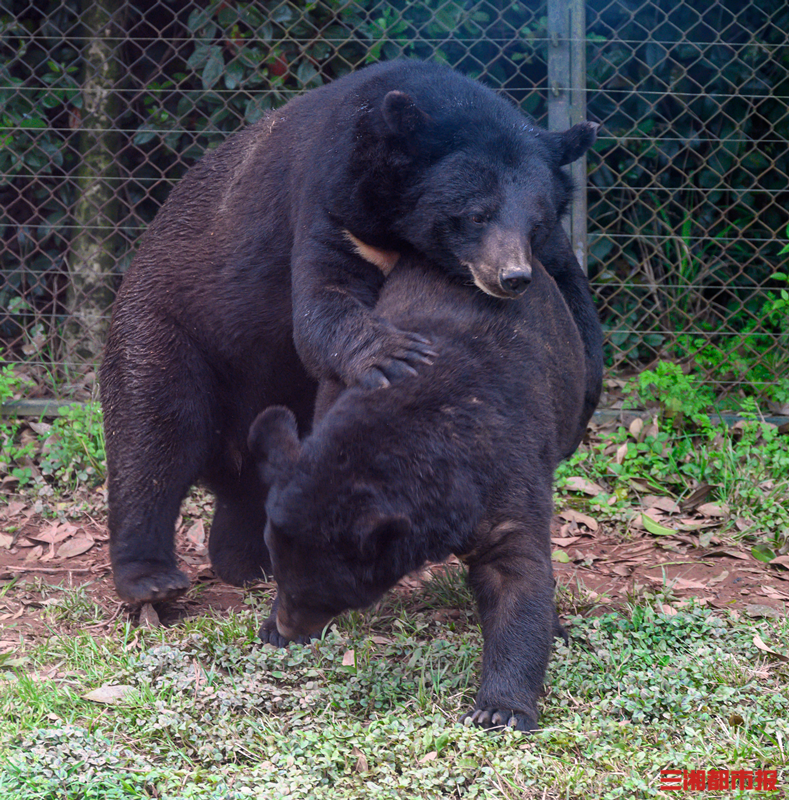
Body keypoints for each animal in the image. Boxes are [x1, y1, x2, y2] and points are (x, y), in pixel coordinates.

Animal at [101, 57, 600, 608]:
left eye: (535, 222)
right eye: (476, 214)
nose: (511, 277)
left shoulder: (547, 251)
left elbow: (573, 298)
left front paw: (577, 412)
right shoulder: (331, 198)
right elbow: (323, 300)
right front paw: (396, 356)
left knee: (249, 479)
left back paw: (249, 561)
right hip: (169, 327)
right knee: (155, 438)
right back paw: (152, 579)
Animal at [248, 250, 592, 732]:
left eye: (324, 594)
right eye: (280, 576)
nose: (289, 628)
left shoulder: (507, 473)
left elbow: (517, 578)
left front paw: (500, 708)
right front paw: (270, 628)